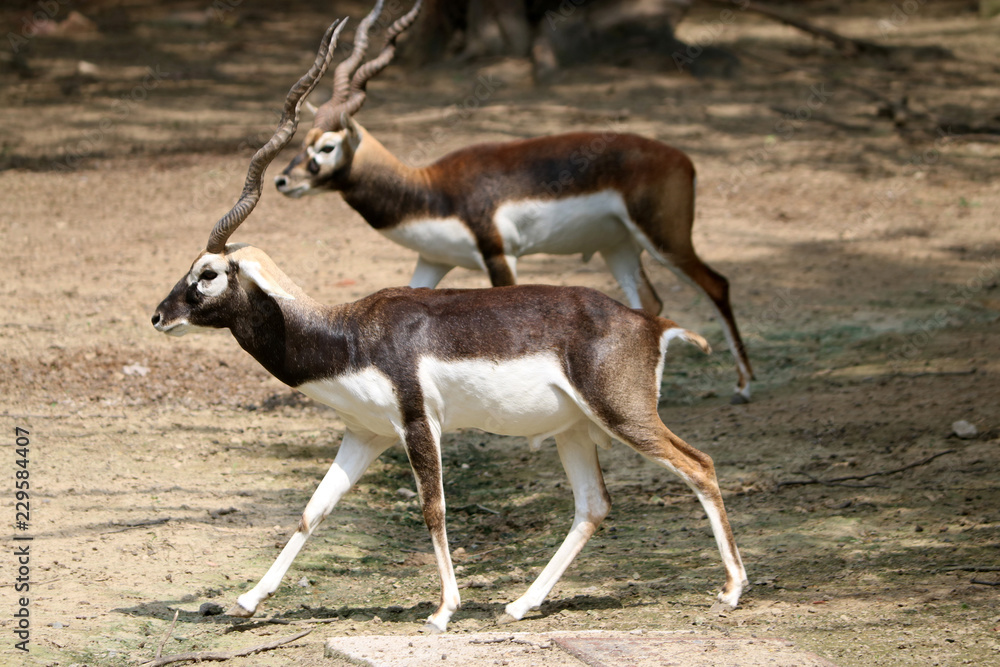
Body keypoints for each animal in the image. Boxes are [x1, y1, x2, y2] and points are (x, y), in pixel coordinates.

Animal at [273, 0, 755, 404]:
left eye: (327, 146)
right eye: (305, 139)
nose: (281, 180)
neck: (431, 190)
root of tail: (682, 159)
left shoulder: (499, 253)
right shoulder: (431, 261)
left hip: (665, 238)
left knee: (717, 284)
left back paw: (744, 386)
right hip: (617, 246)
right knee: (649, 304)